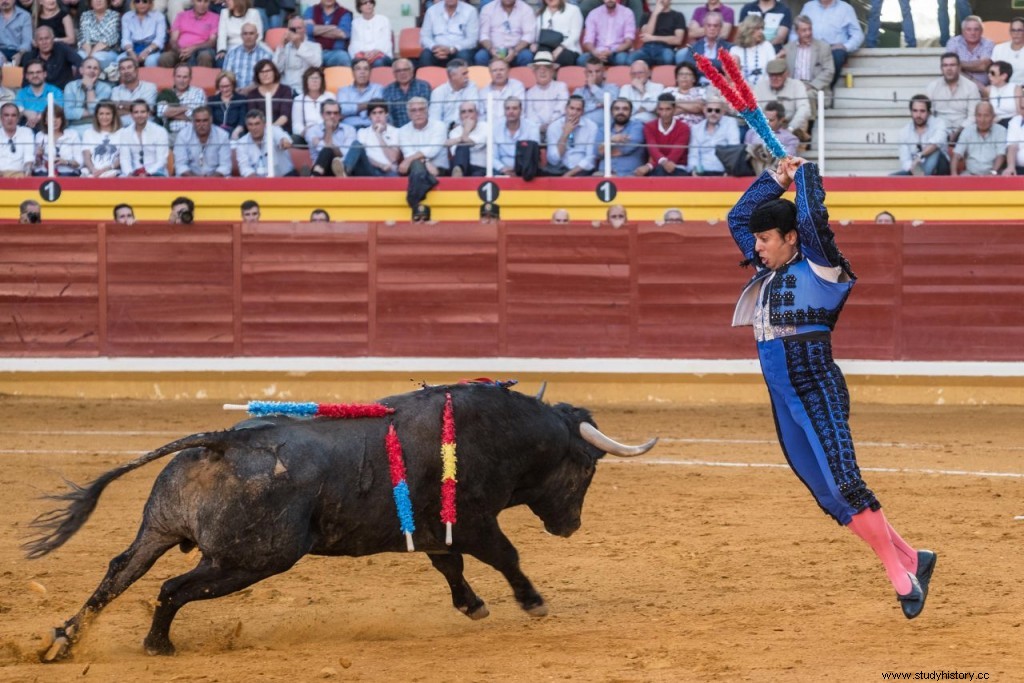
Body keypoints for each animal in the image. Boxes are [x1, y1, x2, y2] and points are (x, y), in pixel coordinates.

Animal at [28, 382, 655, 659]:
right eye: (587, 468)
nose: (570, 527)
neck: (500, 432)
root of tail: (222, 443)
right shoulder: (476, 522)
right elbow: (506, 556)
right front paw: (533, 602)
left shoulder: (437, 532)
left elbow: (450, 569)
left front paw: (472, 606)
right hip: (250, 559)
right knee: (171, 588)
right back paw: (157, 645)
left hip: (160, 530)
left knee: (119, 573)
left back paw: (63, 641)